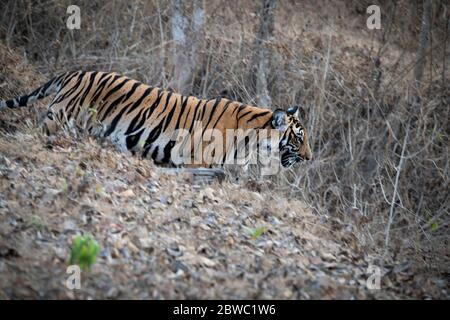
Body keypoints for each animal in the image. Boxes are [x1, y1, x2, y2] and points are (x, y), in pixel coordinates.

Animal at [0, 70, 312, 168]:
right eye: (298, 138)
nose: (309, 158)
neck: (251, 143)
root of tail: (72, 73)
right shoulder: (197, 163)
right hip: (58, 120)